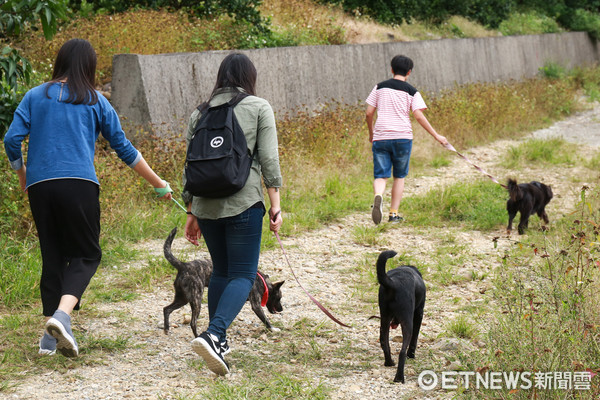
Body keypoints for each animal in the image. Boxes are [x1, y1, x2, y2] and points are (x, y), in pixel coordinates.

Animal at [378, 250, 424, 384]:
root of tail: (393, 283)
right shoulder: (419, 313)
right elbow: (414, 339)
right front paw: (412, 355)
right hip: (407, 321)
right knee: (402, 351)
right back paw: (399, 377)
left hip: (384, 318)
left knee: (384, 342)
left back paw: (389, 363)